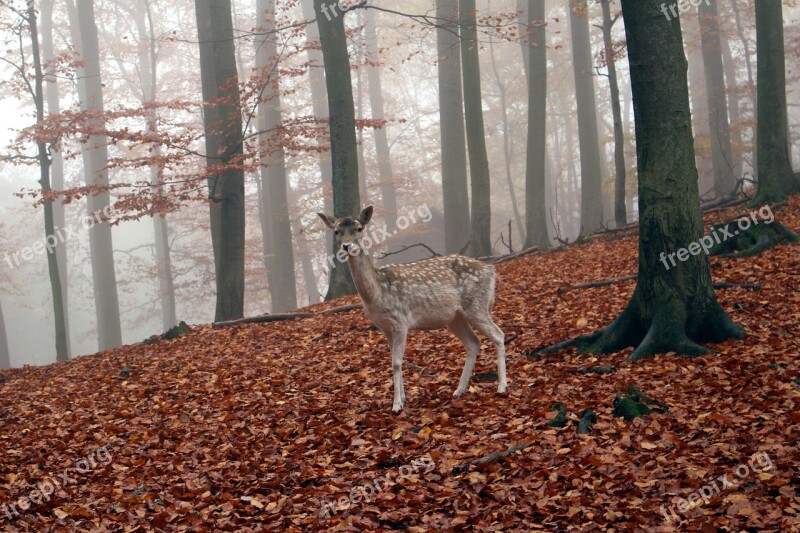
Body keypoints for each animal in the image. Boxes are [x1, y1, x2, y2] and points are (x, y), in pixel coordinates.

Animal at [318, 205, 506, 412]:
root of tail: (490, 269)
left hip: (477, 305)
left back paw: (501, 387)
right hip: (455, 318)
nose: (346, 246)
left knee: (498, 335)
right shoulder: (385, 327)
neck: (376, 293)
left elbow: (397, 363)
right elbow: (393, 361)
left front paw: (397, 405)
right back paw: (459, 390)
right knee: (473, 342)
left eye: (359, 228)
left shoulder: (400, 321)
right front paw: (402, 399)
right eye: (336, 231)